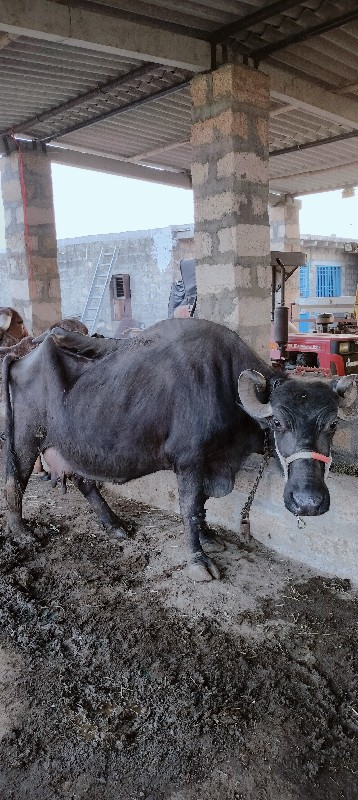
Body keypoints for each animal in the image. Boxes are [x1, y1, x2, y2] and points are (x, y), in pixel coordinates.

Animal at [2, 316, 356, 580]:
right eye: (279, 423)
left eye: (333, 424)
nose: (308, 502)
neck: (224, 387)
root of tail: (21, 359)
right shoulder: (188, 460)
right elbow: (188, 505)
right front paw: (198, 558)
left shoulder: (211, 462)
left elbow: (201, 502)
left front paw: (208, 535)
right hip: (24, 441)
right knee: (16, 482)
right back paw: (22, 532)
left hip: (74, 447)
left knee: (84, 481)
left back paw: (115, 525)